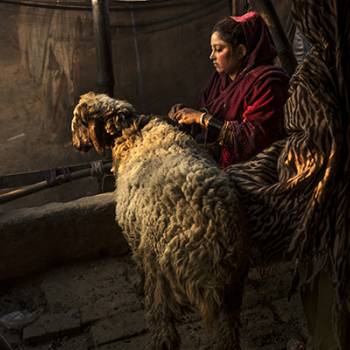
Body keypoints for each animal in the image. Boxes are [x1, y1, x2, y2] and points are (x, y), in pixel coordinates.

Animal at [70, 91, 249, 348]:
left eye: (77, 122)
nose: (75, 144)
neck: (132, 134)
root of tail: (211, 238)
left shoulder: (133, 232)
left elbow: (137, 261)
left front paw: (137, 284)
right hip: (234, 284)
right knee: (229, 331)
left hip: (160, 272)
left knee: (163, 323)